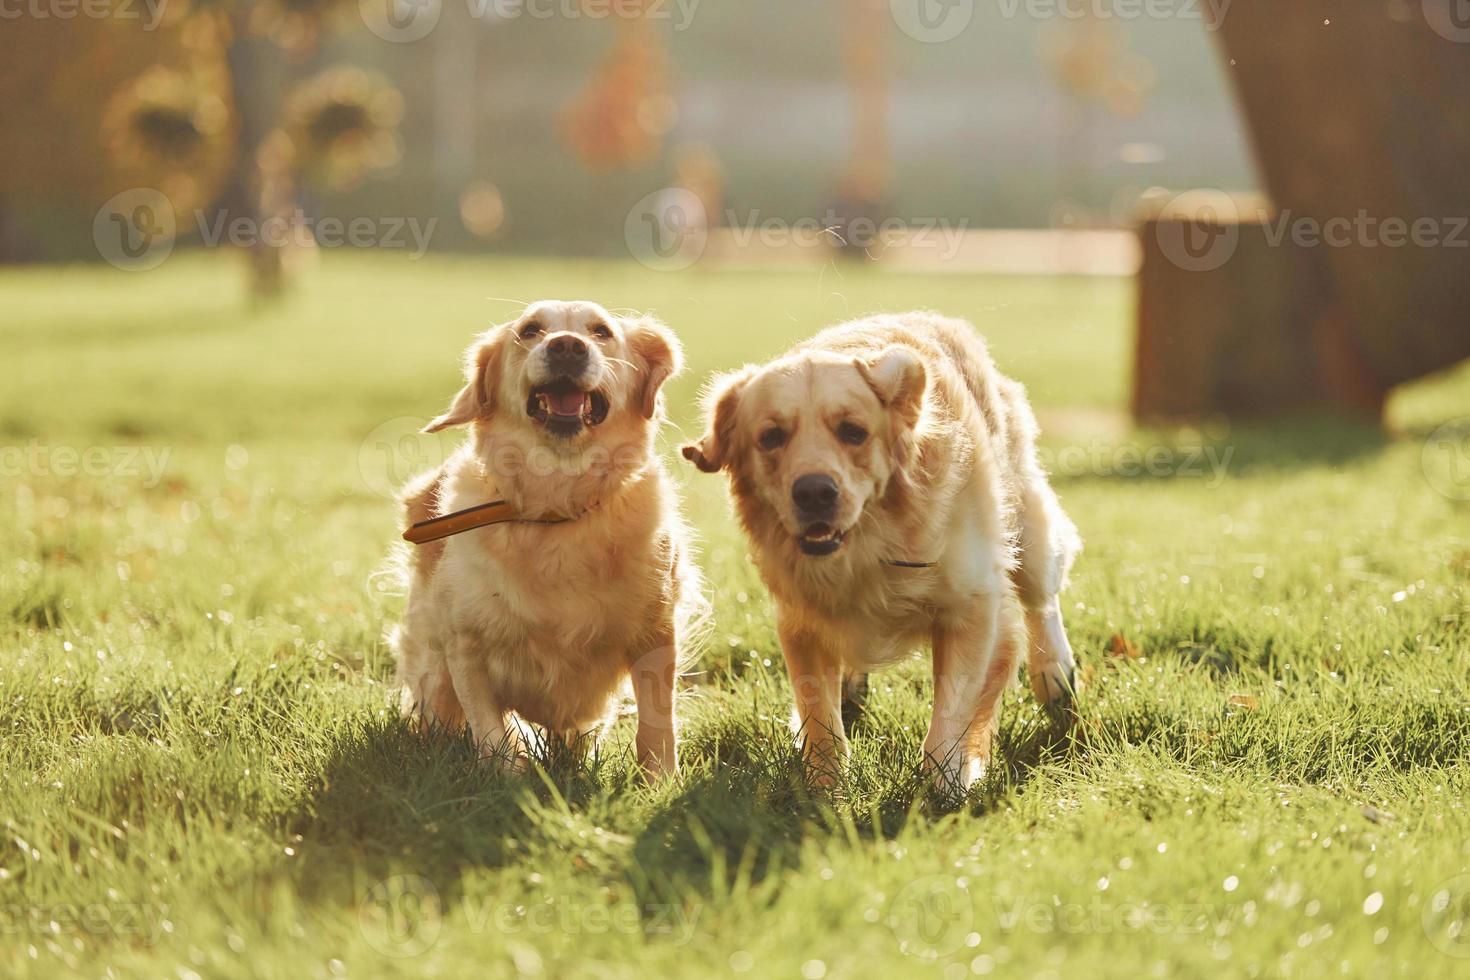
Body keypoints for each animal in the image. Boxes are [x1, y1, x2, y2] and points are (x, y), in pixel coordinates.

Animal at [391, 302, 699, 775]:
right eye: (530, 330)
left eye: (601, 331)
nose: (567, 347)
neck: (556, 506)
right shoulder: (465, 646)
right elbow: (492, 732)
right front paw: (508, 776)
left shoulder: (655, 633)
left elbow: (656, 724)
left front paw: (659, 780)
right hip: (433, 666)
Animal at [679, 310, 1081, 793]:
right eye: (771, 437)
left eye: (853, 432)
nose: (814, 493)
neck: (870, 545)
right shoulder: (799, 622)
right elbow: (818, 714)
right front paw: (825, 787)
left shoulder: (973, 608)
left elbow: (953, 712)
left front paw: (948, 784)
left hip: (1025, 528)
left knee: (1043, 599)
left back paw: (1054, 673)